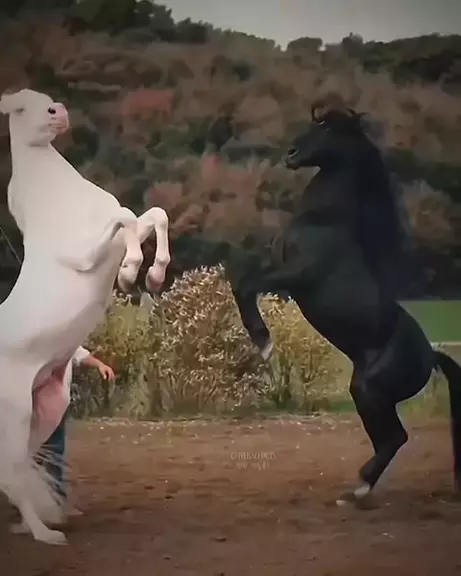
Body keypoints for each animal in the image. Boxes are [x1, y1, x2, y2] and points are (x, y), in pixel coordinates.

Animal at [0, 88, 170, 545]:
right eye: (21, 107)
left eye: (48, 100)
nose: (59, 113)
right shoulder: (83, 253)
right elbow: (125, 219)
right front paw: (131, 271)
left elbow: (153, 216)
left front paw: (152, 273)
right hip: (14, 412)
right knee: (12, 473)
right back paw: (45, 534)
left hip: (47, 409)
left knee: (23, 468)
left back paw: (31, 525)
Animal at [229, 97, 461, 505]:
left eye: (326, 128)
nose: (291, 155)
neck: (324, 220)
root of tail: (431, 356)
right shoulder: (280, 268)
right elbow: (244, 281)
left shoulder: (297, 277)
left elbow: (246, 286)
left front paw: (265, 344)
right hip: (365, 393)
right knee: (391, 438)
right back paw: (358, 491)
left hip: (372, 394)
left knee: (395, 438)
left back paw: (358, 490)